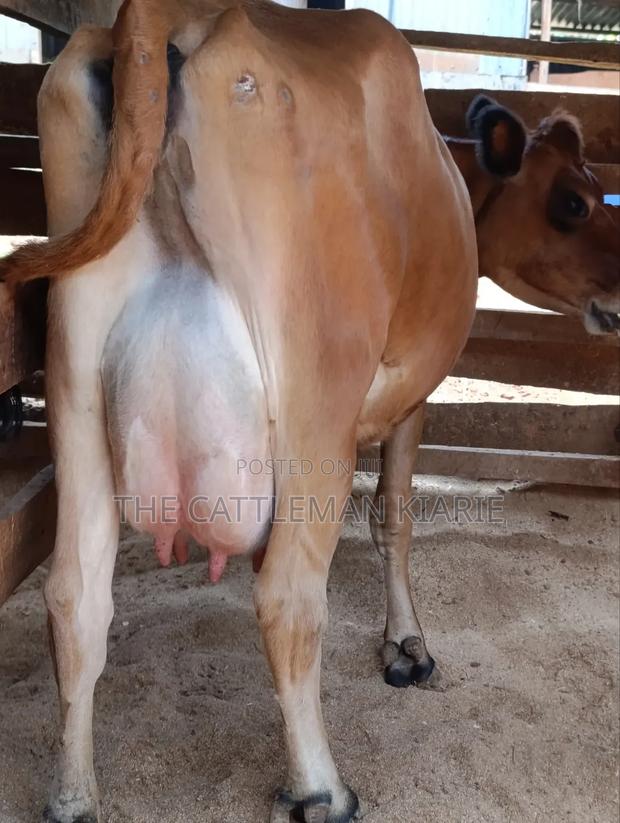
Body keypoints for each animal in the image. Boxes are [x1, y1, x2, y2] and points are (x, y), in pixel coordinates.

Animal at [0, 2, 618, 822]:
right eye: (575, 200)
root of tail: (172, 19)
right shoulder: (412, 396)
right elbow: (393, 518)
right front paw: (407, 646)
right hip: (315, 409)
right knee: (288, 597)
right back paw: (321, 785)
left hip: (73, 380)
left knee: (74, 596)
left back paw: (72, 796)